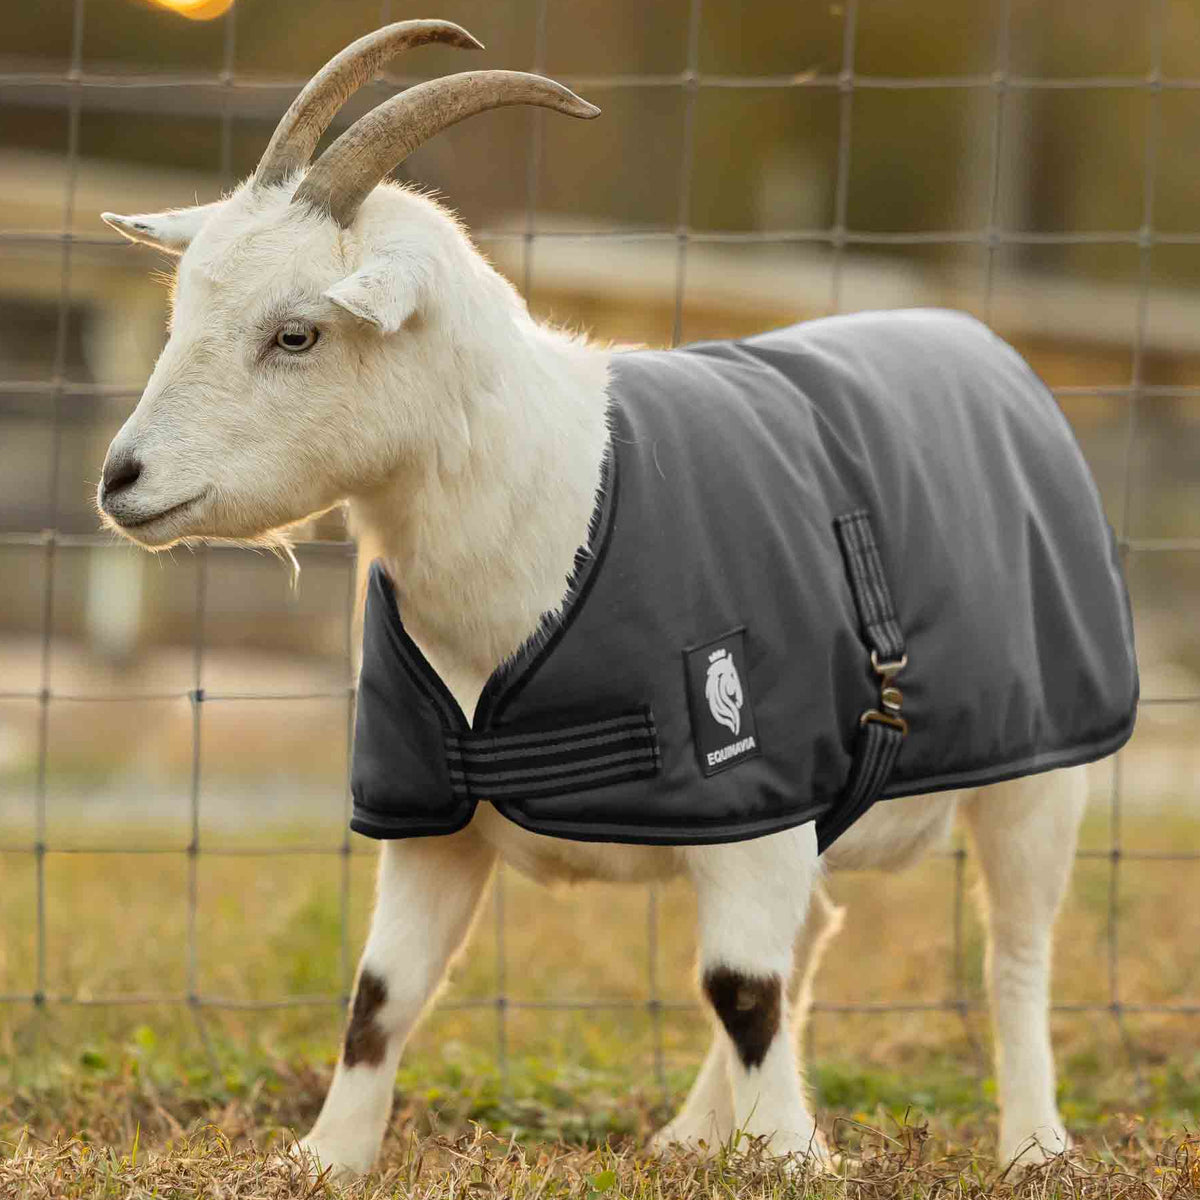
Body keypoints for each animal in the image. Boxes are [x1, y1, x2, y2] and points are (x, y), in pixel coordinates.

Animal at [96, 20, 1135, 1179]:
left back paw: (1033, 1146)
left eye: (296, 334)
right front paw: (327, 1158)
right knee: (815, 931)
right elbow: (382, 996)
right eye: (186, 307)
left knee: (1014, 949)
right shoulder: (434, 819)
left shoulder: (752, 789)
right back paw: (693, 1136)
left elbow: (740, 988)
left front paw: (793, 1163)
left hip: (1042, 768)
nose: (122, 480)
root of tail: (990, 348)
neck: (562, 506)